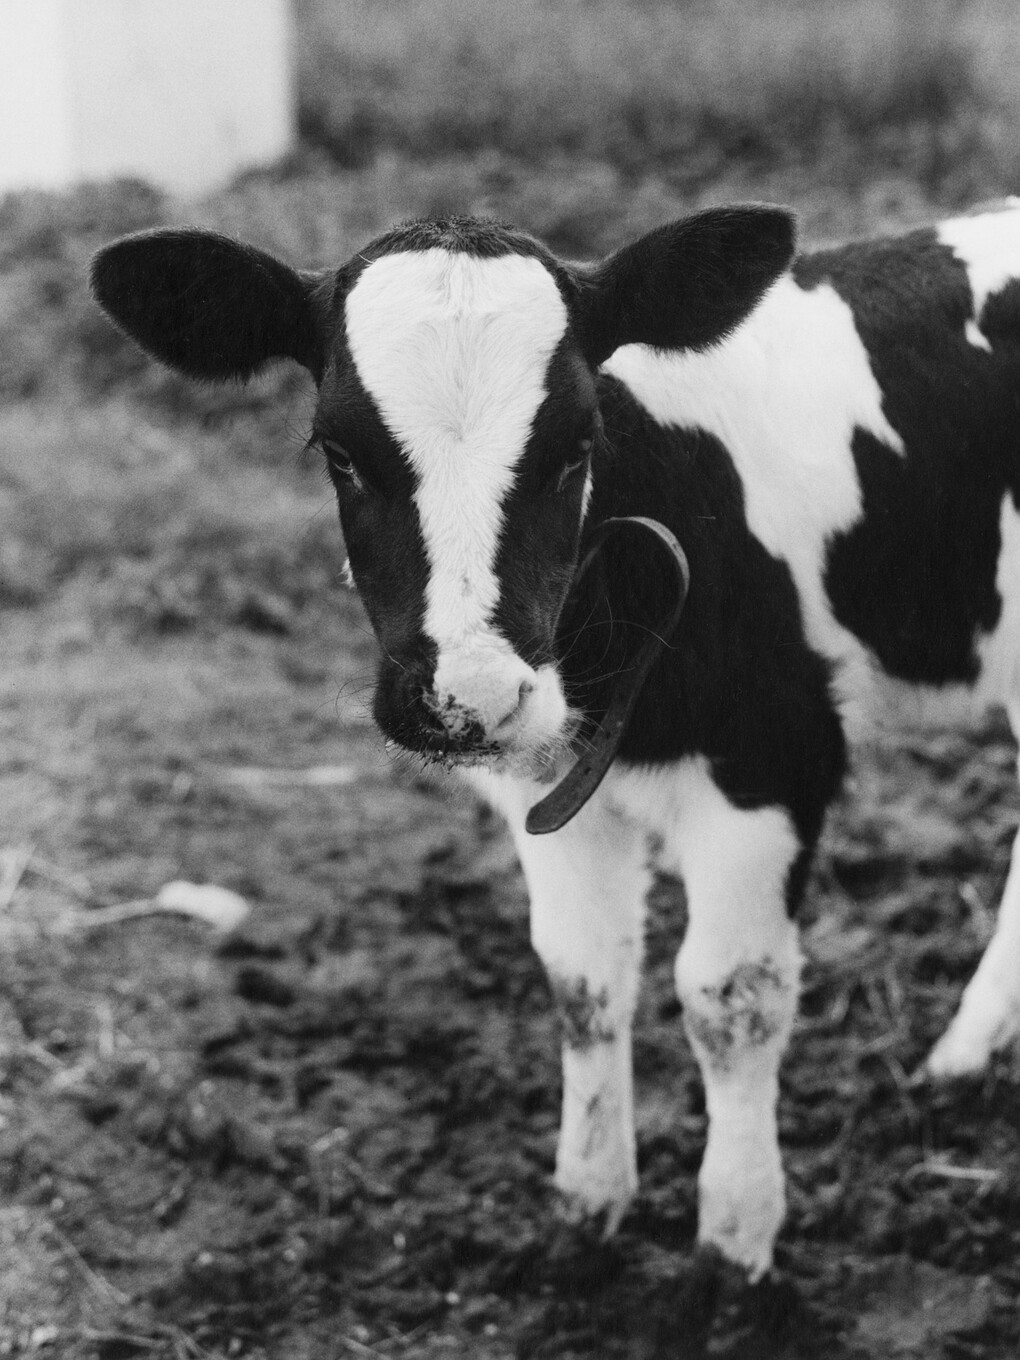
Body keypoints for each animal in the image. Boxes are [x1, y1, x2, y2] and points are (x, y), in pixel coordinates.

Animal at [90, 200, 1020, 1281]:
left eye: (579, 443)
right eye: (338, 451)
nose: (471, 697)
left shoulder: (776, 752)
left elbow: (729, 994)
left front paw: (733, 1245)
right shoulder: (546, 784)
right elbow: (582, 977)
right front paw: (586, 1206)